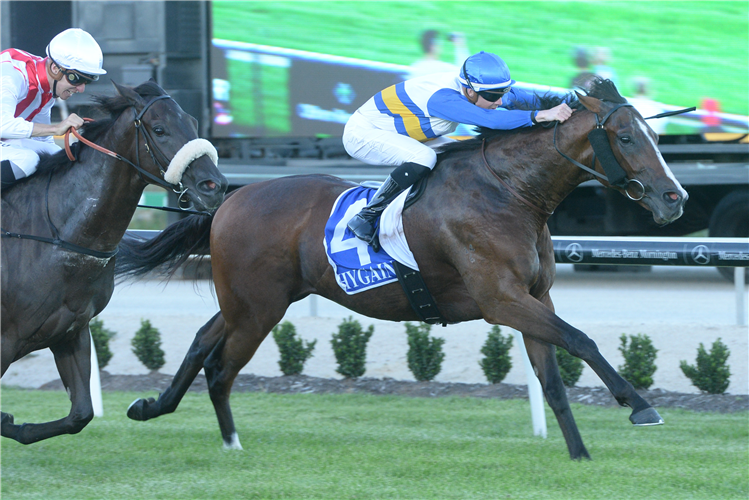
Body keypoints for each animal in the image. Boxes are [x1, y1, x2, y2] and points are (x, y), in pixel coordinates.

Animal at [0, 80, 228, 444]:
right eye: (159, 129)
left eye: (193, 122)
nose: (214, 186)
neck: (55, 234)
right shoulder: (7, 340)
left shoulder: (69, 331)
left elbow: (80, 414)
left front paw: (13, 423)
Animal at [116, 79, 687, 460]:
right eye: (628, 139)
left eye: (655, 137)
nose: (674, 198)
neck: (509, 192)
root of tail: (229, 200)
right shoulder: (502, 301)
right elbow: (581, 340)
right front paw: (639, 405)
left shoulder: (533, 298)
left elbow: (552, 380)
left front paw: (579, 454)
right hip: (257, 308)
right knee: (220, 367)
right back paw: (225, 439)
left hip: (250, 301)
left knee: (200, 343)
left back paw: (157, 409)